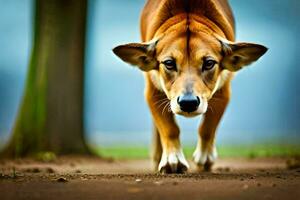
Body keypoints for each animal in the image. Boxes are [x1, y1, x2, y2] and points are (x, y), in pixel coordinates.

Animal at [113, 0, 268, 173]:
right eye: (169, 63)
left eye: (209, 63)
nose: (188, 102)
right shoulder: (152, 91)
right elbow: (170, 128)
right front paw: (172, 159)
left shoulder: (224, 91)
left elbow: (207, 127)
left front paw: (205, 157)